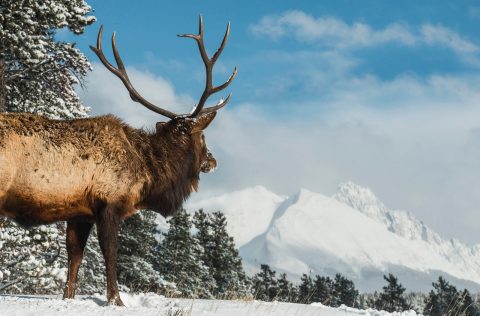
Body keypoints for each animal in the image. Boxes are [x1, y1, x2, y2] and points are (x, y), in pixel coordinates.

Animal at [0, 15, 234, 306]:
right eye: (202, 137)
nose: (213, 160)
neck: (147, 173)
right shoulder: (108, 202)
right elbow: (110, 253)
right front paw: (116, 300)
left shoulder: (80, 212)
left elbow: (74, 256)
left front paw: (69, 298)